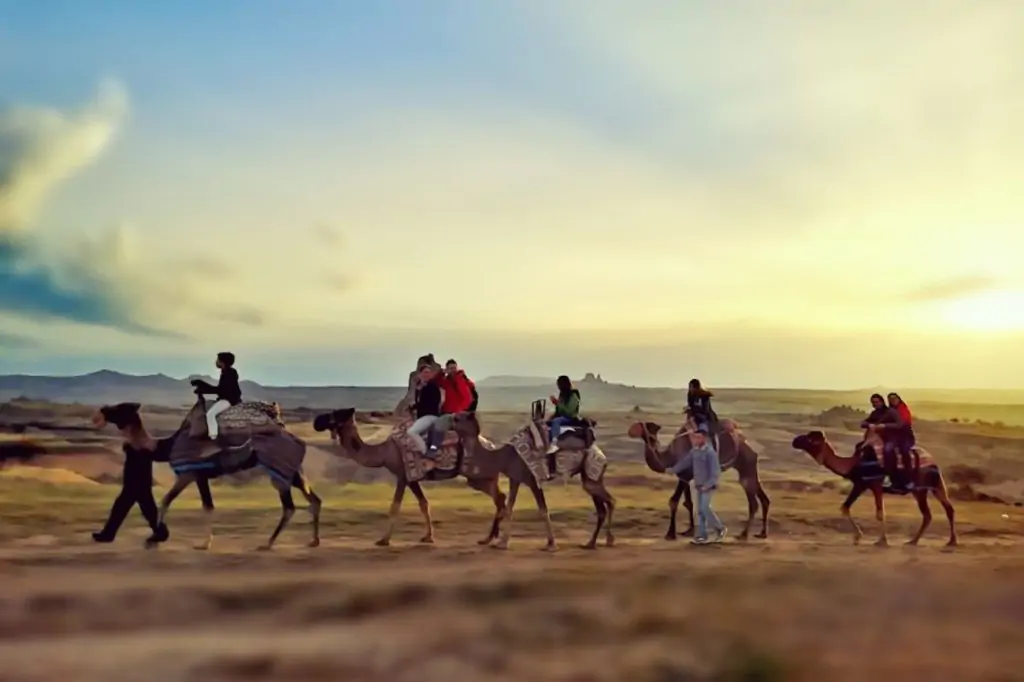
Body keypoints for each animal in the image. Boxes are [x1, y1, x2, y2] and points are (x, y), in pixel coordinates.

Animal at [309, 405, 505, 544]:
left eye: (336, 414)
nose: (316, 421)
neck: (384, 452)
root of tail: (492, 446)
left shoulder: (402, 476)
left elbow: (395, 506)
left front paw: (384, 540)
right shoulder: (412, 479)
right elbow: (424, 503)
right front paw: (428, 537)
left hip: (478, 476)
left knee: (499, 498)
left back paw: (490, 538)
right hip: (480, 477)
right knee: (500, 498)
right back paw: (490, 537)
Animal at [450, 409, 614, 548]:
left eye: (458, 418)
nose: (449, 420)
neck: (503, 457)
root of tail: (601, 454)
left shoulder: (534, 479)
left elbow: (543, 510)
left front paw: (551, 544)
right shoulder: (514, 479)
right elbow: (509, 508)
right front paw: (502, 543)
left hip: (592, 472)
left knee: (609, 502)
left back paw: (606, 540)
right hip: (589, 476)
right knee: (603, 507)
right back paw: (592, 543)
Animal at [622, 417, 770, 540]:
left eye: (642, 425)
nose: (630, 430)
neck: (671, 455)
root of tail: (745, 440)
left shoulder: (684, 474)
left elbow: (674, 501)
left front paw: (670, 534)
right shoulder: (685, 476)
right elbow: (688, 503)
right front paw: (689, 531)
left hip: (746, 465)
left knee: (753, 502)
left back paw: (743, 535)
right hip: (748, 467)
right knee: (763, 498)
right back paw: (762, 533)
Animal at [790, 428, 958, 544]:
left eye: (809, 439)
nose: (795, 440)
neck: (853, 464)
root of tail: (933, 461)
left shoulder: (873, 484)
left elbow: (879, 513)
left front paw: (881, 540)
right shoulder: (861, 484)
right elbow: (845, 507)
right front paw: (858, 535)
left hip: (924, 487)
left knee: (935, 512)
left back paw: (942, 541)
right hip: (928, 487)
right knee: (943, 510)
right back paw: (923, 541)